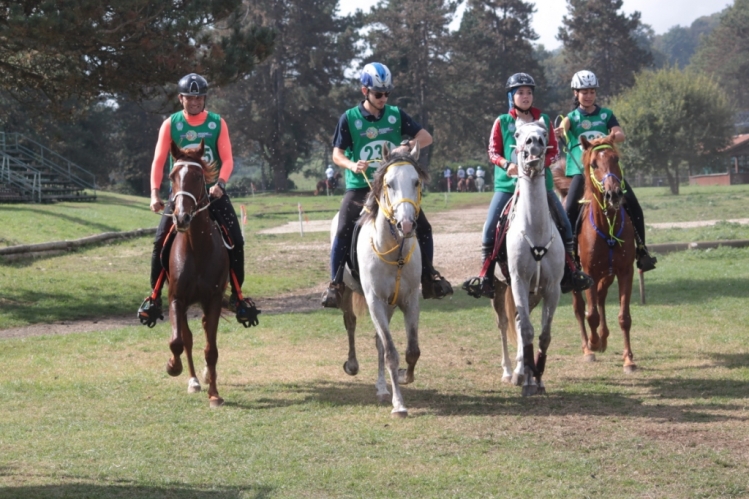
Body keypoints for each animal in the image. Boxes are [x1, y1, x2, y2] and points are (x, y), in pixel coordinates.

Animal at [328, 142, 424, 418]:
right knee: (351, 323)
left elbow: (411, 350)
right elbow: (391, 352)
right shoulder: (374, 302)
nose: (406, 224)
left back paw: (382, 388)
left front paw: (403, 377)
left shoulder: (410, 301)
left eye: (416, 181)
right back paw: (352, 365)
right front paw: (399, 405)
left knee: (379, 341)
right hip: (349, 293)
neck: (394, 252)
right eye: (389, 184)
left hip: (389, 304)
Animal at [490, 119, 560, 396]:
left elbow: (544, 335)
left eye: (544, 134)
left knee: (520, 322)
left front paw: (537, 377)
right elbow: (527, 331)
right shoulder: (518, 282)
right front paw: (528, 380)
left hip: (533, 293)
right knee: (505, 324)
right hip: (501, 290)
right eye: (518, 134)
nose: (534, 144)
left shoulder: (552, 288)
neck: (535, 229)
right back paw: (511, 371)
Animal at [572, 135, 636, 374]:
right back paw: (588, 348)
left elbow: (624, 317)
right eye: (593, 164)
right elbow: (591, 315)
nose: (614, 193)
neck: (607, 226)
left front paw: (628, 359)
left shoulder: (625, 271)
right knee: (580, 308)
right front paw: (593, 343)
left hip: (606, 275)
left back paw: (604, 337)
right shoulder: (588, 273)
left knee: (599, 296)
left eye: (615, 159)